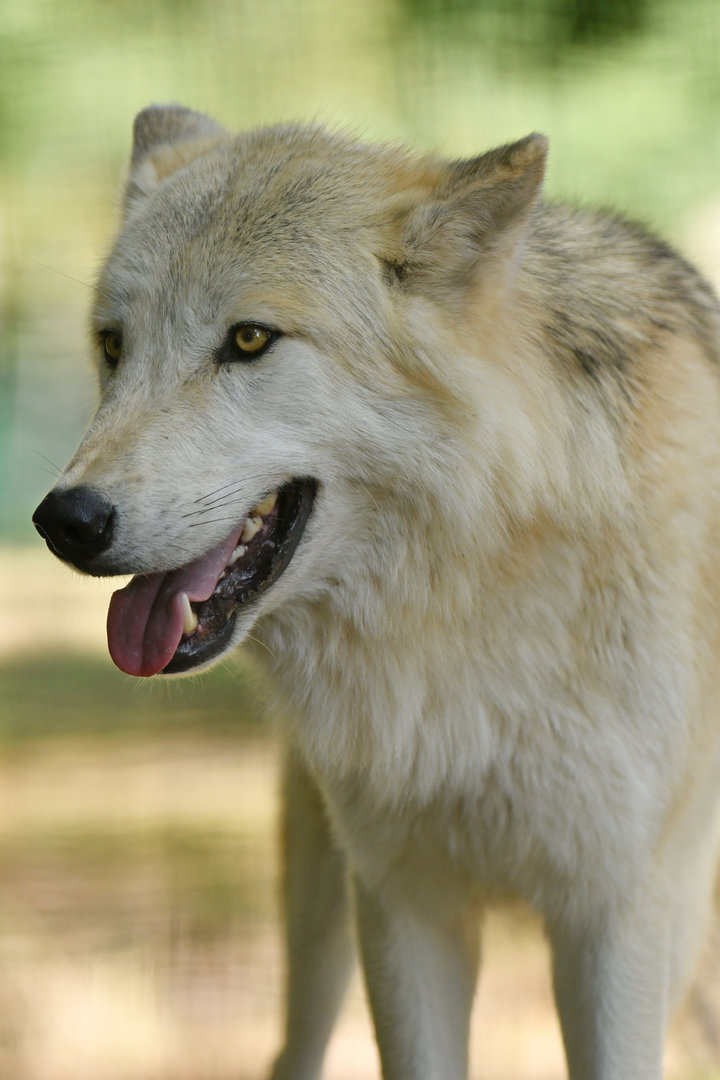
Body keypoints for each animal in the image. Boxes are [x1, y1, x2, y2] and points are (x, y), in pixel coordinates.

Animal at [32, 105, 720, 1079]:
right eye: (113, 346)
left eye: (250, 340)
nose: (66, 520)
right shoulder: (401, 907)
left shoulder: (614, 918)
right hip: (320, 908)